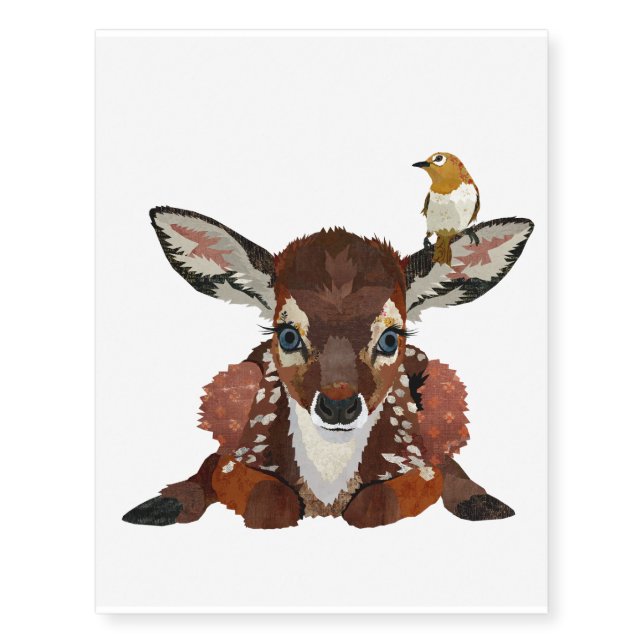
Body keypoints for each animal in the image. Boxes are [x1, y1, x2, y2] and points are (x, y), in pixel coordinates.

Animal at [122, 206, 534, 529]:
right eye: (288, 335)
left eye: (390, 338)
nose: (338, 405)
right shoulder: (242, 456)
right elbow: (267, 499)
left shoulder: (414, 460)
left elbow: (377, 504)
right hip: (234, 387)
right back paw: (161, 505)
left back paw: (482, 502)